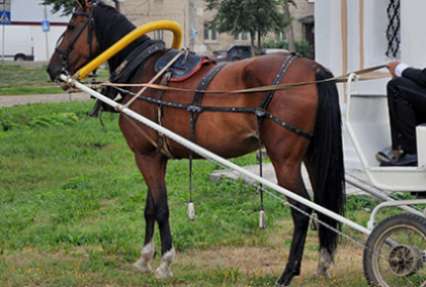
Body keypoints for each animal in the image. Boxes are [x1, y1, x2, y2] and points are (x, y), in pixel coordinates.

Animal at [47, 1, 346, 286]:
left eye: (71, 26)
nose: (52, 68)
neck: (141, 71)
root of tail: (313, 68)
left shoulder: (145, 155)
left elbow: (162, 208)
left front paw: (165, 263)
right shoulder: (157, 155)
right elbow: (150, 208)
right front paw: (144, 259)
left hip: (285, 162)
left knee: (303, 211)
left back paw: (287, 273)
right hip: (312, 157)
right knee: (324, 206)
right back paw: (323, 263)